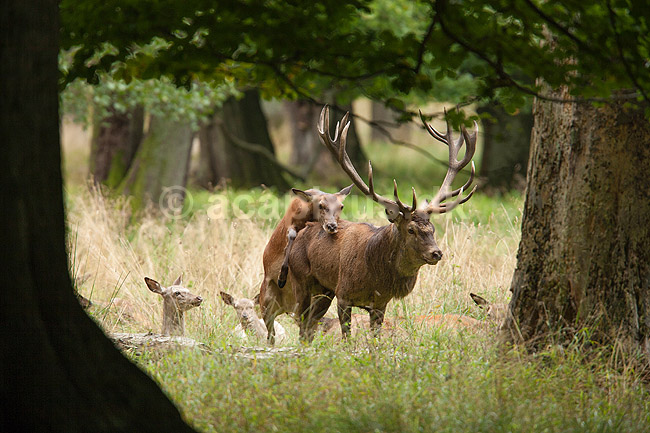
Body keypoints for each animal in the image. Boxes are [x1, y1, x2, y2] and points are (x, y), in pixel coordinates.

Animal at [258, 184, 353, 344]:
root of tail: (287, 306)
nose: (332, 226)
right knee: (271, 334)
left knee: (309, 327)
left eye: (341, 206)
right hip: (266, 300)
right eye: (320, 205)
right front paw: (282, 277)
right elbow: (291, 235)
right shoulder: (290, 222)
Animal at [286, 105, 478, 341]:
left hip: (324, 290)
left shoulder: (380, 303)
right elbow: (347, 338)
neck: (374, 275)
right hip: (302, 281)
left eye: (432, 229)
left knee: (310, 325)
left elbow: (376, 341)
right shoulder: (343, 294)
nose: (436, 253)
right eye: (411, 229)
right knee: (302, 323)